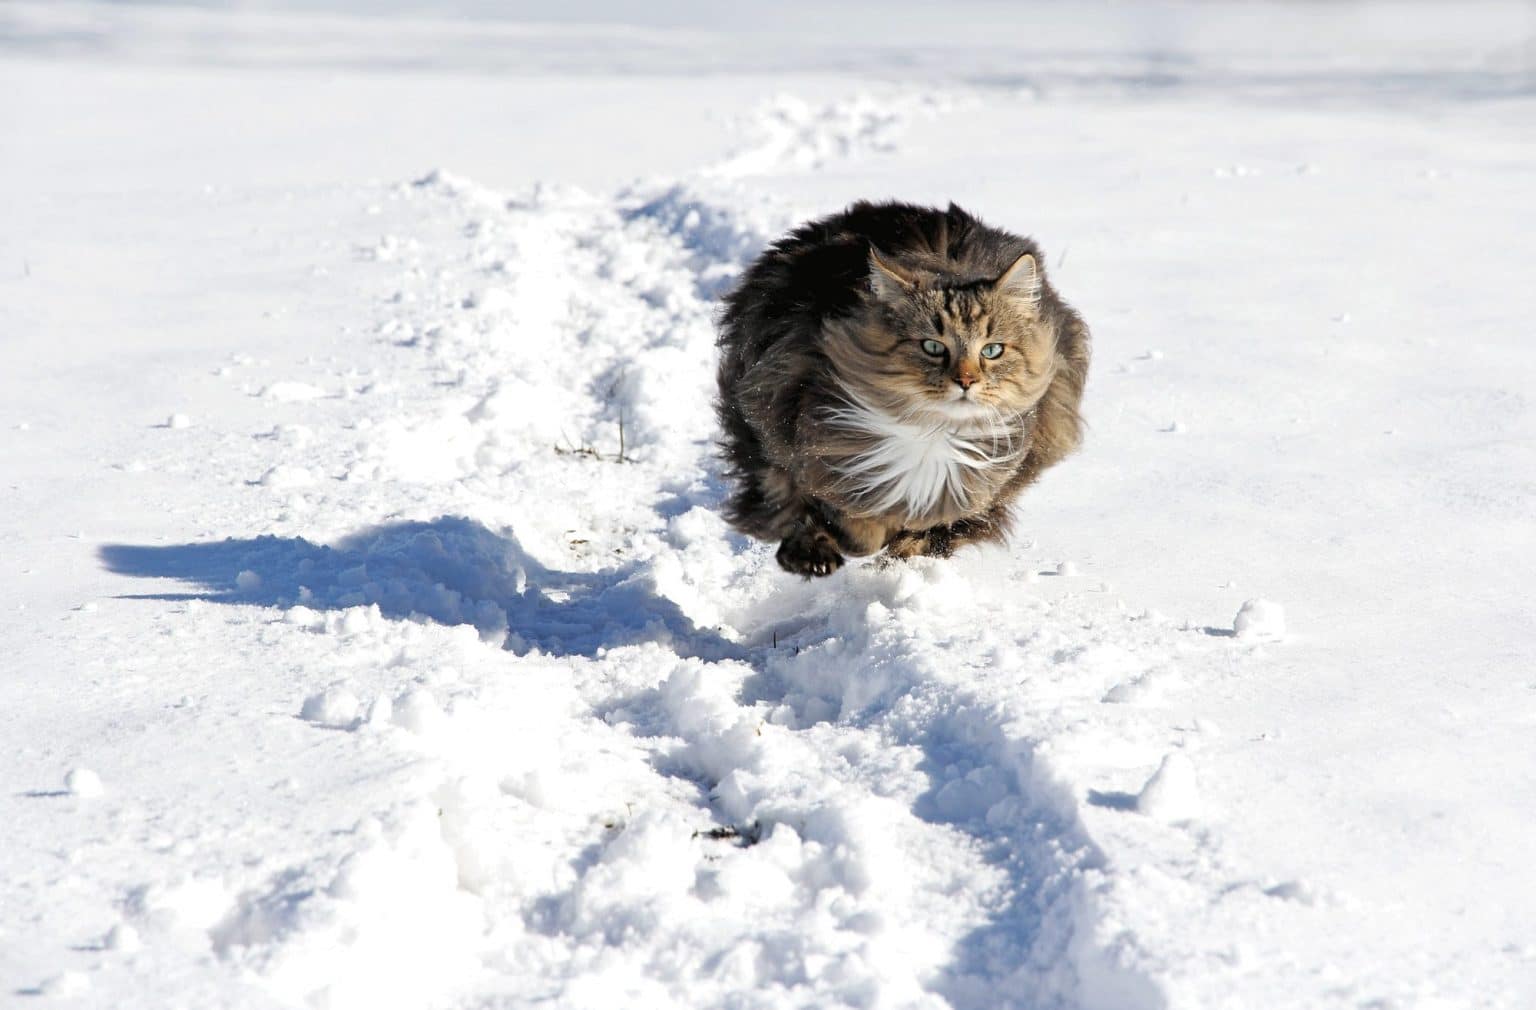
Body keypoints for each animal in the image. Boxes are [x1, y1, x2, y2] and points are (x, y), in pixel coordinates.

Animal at [715, 198, 1093, 574]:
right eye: (933, 347)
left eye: (992, 350)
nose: (966, 380)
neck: (931, 433)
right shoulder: (795, 427)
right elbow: (831, 510)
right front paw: (839, 544)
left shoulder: (986, 482)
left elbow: (936, 527)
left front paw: (901, 553)